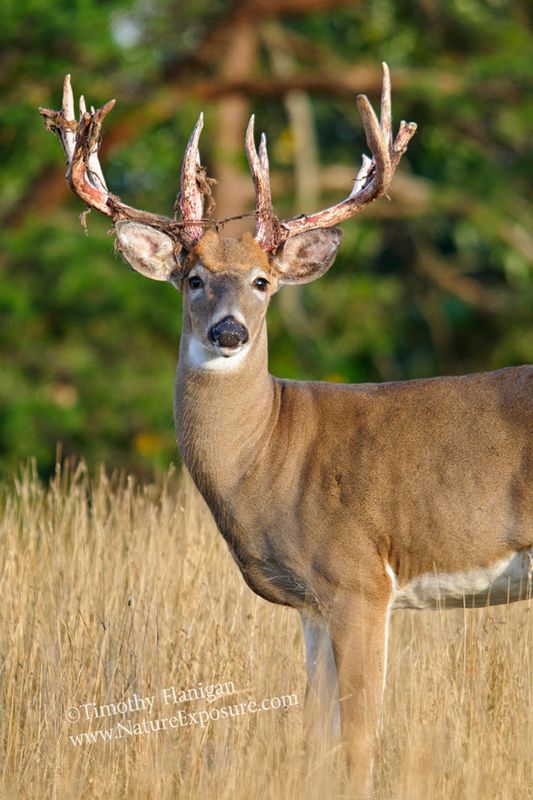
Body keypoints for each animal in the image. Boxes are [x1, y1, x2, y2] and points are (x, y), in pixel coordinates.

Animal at [40, 64, 532, 796]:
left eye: (262, 281)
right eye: (192, 279)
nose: (228, 332)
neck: (269, 454)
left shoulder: (359, 579)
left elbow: (358, 743)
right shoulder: (312, 604)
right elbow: (313, 740)